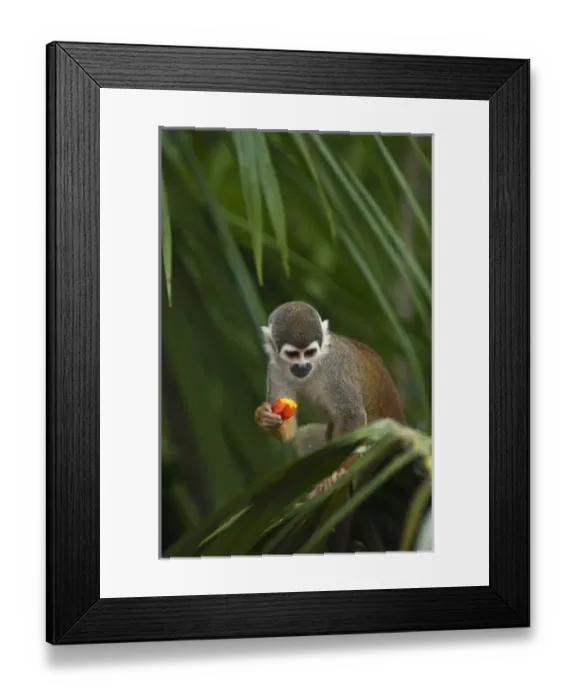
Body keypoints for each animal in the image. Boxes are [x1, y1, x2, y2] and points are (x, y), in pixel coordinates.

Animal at [254, 301, 406, 497]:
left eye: (310, 352)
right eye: (293, 354)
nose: (303, 366)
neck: (317, 364)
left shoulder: (336, 369)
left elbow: (352, 417)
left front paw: (335, 473)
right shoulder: (275, 370)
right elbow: (290, 430)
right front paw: (264, 417)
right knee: (304, 437)